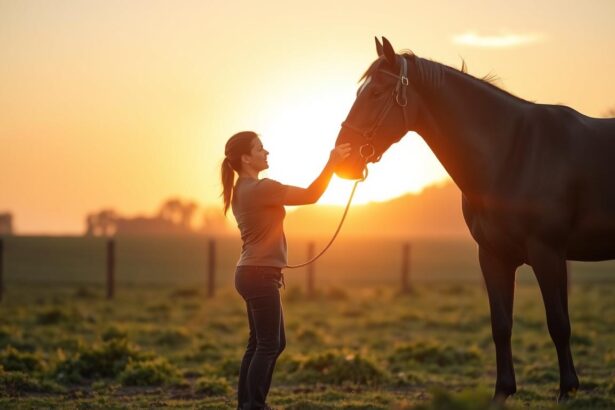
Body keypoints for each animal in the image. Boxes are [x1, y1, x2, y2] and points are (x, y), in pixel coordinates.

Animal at [334, 36, 615, 402]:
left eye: (377, 93)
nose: (341, 158)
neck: (513, 154)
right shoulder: (493, 256)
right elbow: (501, 325)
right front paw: (503, 390)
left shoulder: (549, 253)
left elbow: (558, 323)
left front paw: (567, 389)